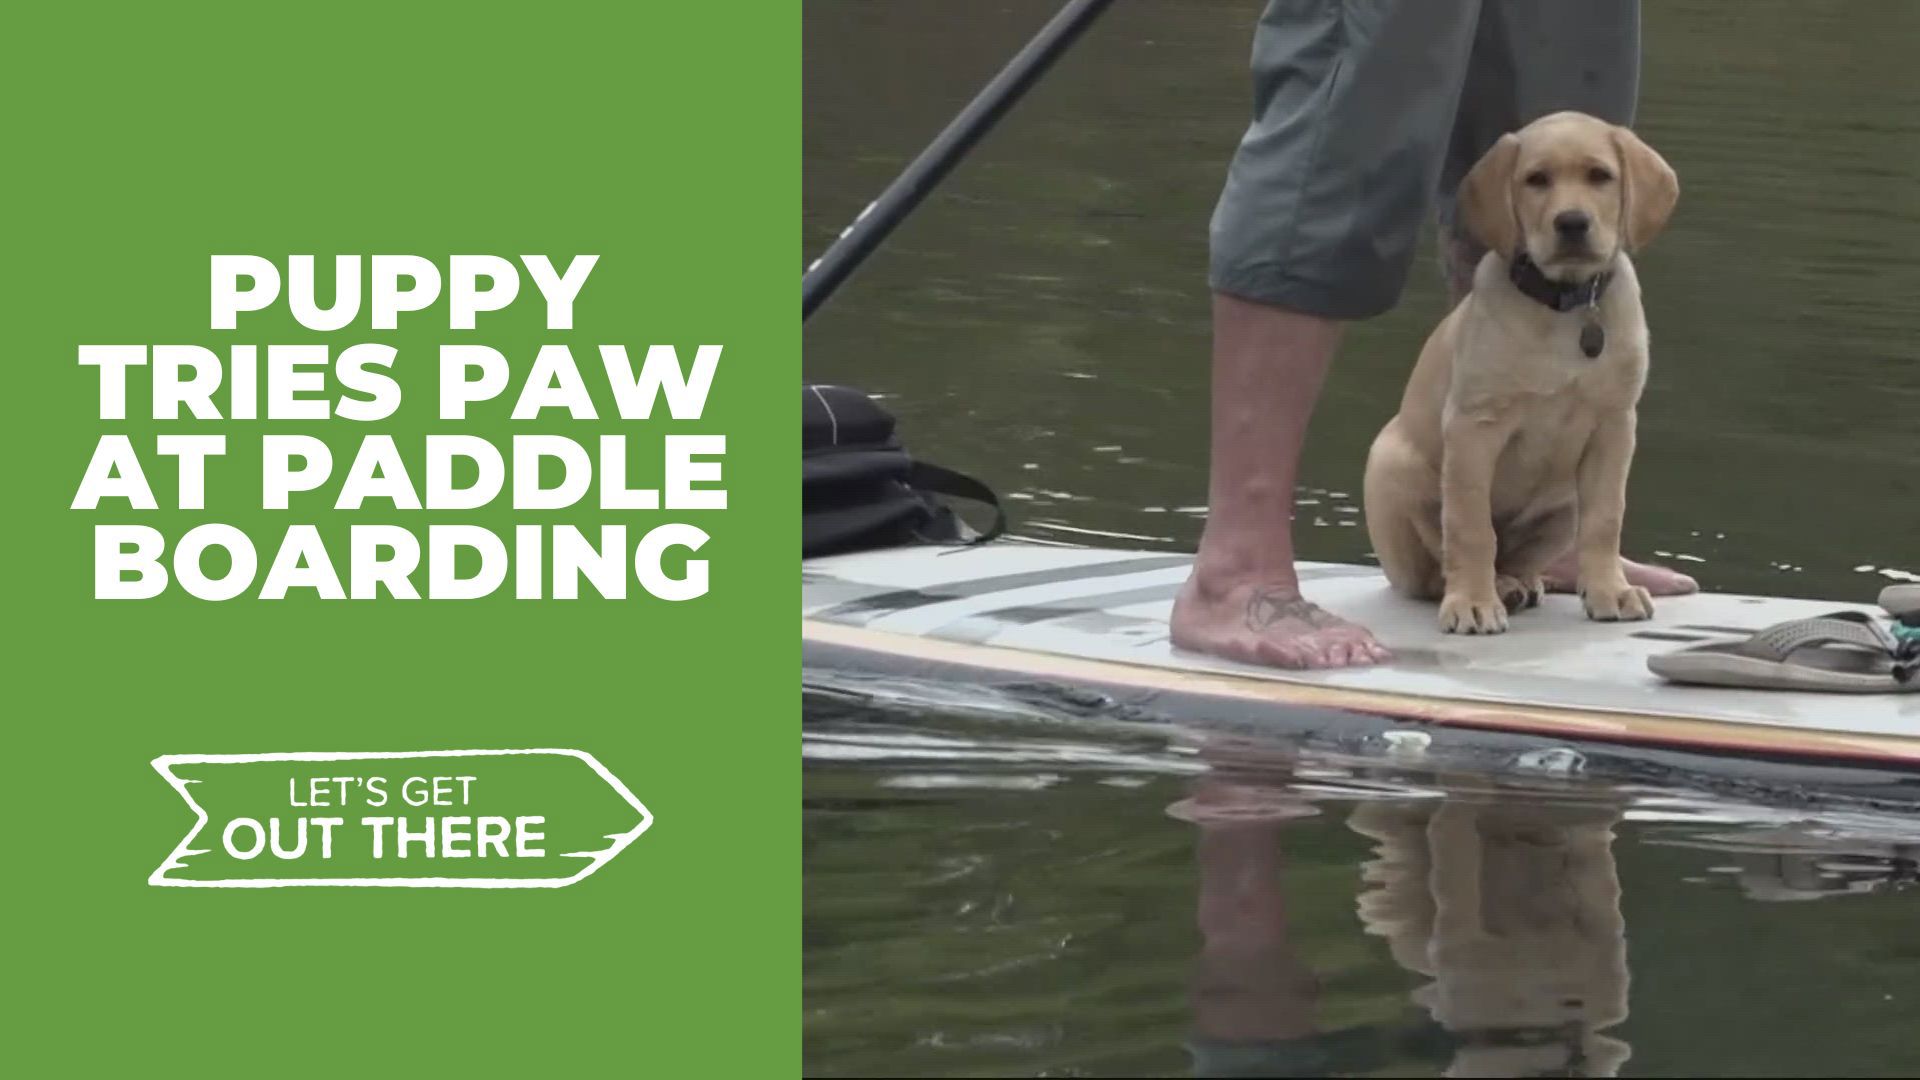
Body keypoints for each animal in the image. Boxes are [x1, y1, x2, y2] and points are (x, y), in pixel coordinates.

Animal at [1367, 111, 1681, 630]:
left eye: (1600, 176)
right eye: (1536, 180)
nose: (1572, 222)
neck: (1565, 305)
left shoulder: (1615, 427)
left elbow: (1606, 519)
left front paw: (1611, 592)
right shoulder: (1475, 428)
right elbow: (1470, 526)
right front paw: (1472, 603)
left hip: (1562, 509)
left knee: (1523, 556)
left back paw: (1520, 582)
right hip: (1393, 467)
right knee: (1437, 567)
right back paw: (1489, 588)